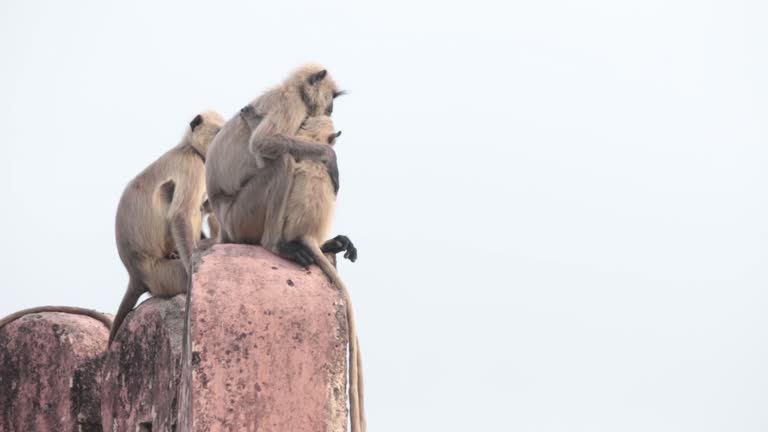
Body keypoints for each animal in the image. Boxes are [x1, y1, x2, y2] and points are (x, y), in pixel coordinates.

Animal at [109, 111, 225, 345]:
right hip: (163, 275)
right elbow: (179, 215)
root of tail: (136, 275)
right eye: (217, 132)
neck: (189, 147)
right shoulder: (192, 164)